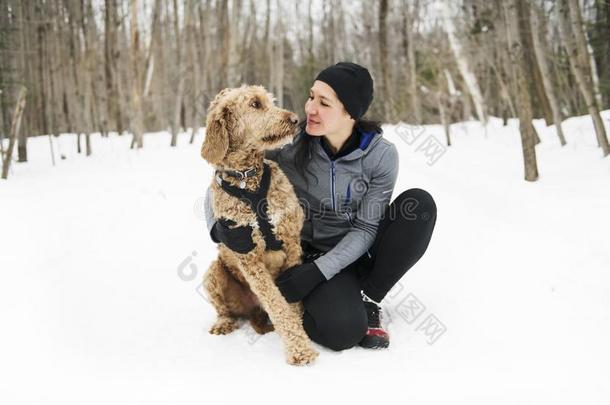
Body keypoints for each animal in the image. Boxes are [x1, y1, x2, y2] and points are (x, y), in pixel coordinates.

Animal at [202, 85, 318, 366]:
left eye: (271, 101)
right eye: (255, 104)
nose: (295, 119)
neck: (248, 180)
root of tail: (252, 309)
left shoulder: (291, 241)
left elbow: (292, 299)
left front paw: (300, 337)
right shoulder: (249, 258)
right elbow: (277, 303)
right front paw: (300, 350)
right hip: (213, 274)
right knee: (226, 311)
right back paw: (223, 323)